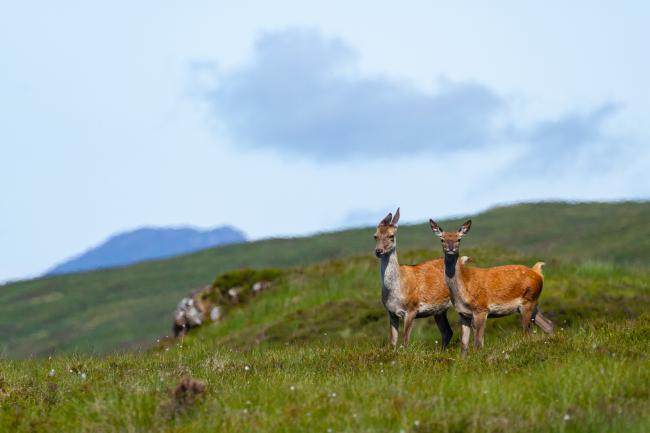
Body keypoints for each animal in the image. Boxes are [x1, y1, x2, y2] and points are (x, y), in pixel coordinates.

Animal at [372, 208, 454, 348]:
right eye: (375, 236)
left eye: (391, 236)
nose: (379, 251)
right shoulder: (391, 312)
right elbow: (392, 342)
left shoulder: (412, 309)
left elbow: (405, 341)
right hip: (439, 311)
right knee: (447, 332)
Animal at [426, 218, 552, 352]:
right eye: (442, 239)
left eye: (459, 239)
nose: (450, 248)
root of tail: (538, 272)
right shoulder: (463, 314)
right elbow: (464, 346)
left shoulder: (481, 308)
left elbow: (478, 344)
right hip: (532, 303)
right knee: (548, 324)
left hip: (528, 301)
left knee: (528, 332)